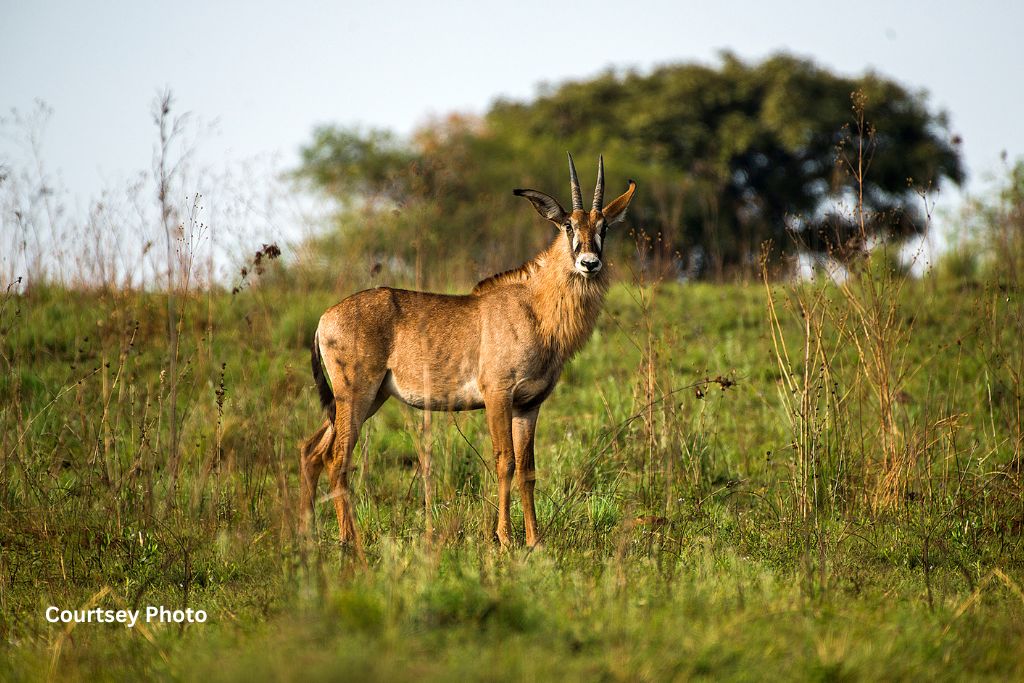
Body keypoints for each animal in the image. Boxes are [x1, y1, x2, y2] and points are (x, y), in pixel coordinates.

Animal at [299, 152, 630, 548]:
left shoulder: (529, 404)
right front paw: (505, 539)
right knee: (337, 459)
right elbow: (505, 461)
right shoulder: (498, 394)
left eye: (604, 227)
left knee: (311, 450)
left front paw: (535, 541)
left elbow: (528, 469)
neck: (535, 308)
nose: (589, 263)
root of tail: (324, 319)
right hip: (356, 395)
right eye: (568, 225)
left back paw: (304, 537)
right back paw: (352, 543)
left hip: (368, 398)